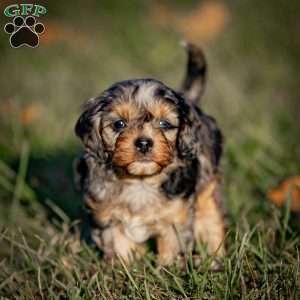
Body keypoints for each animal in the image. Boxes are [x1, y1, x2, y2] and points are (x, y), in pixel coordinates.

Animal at [74, 42, 225, 264]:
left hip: (207, 187)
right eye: (119, 124)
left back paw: (215, 258)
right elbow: (120, 249)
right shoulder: (108, 218)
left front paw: (167, 269)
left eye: (165, 124)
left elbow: (171, 250)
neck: (140, 182)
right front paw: (124, 269)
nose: (144, 143)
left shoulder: (175, 218)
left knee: (210, 221)